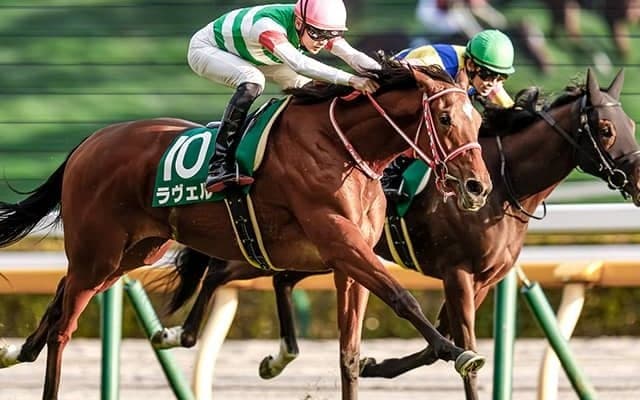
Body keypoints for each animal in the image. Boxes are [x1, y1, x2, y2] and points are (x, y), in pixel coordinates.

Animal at [0, 60, 492, 400]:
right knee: (65, 326)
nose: (478, 186)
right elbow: (402, 296)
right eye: (445, 119)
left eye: (479, 121)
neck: (346, 149)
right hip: (99, 251)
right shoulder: (339, 242)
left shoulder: (346, 262)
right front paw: (460, 353)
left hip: (131, 252)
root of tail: (89, 142)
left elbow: (349, 355)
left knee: (60, 295)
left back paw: (17, 351)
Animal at [158, 68, 640, 400]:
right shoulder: (459, 273)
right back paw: (179, 334)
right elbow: (461, 343)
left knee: (272, 277)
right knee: (222, 270)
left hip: (319, 252)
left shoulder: (484, 280)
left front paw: (374, 364)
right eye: (605, 129)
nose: (637, 179)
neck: (506, 182)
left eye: (631, 126)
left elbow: (441, 342)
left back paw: (274, 356)